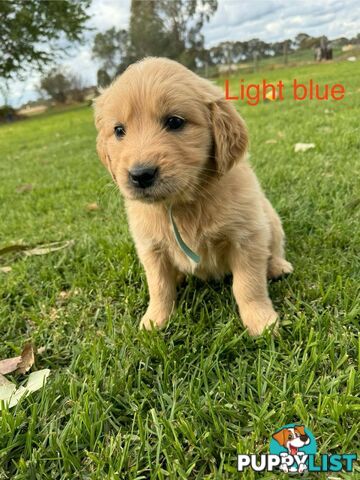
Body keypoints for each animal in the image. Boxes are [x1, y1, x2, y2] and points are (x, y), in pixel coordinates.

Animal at [93, 57, 292, 334]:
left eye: (175, 122)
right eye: (119, 130)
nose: (140, 175)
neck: (181, 203)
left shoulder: (247, 237)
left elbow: (248, 284)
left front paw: (260, 320)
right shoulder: (150, 247)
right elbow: (159, 287)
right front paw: (154, 320)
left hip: (270, 219)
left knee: (274, 248)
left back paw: (277, 266)